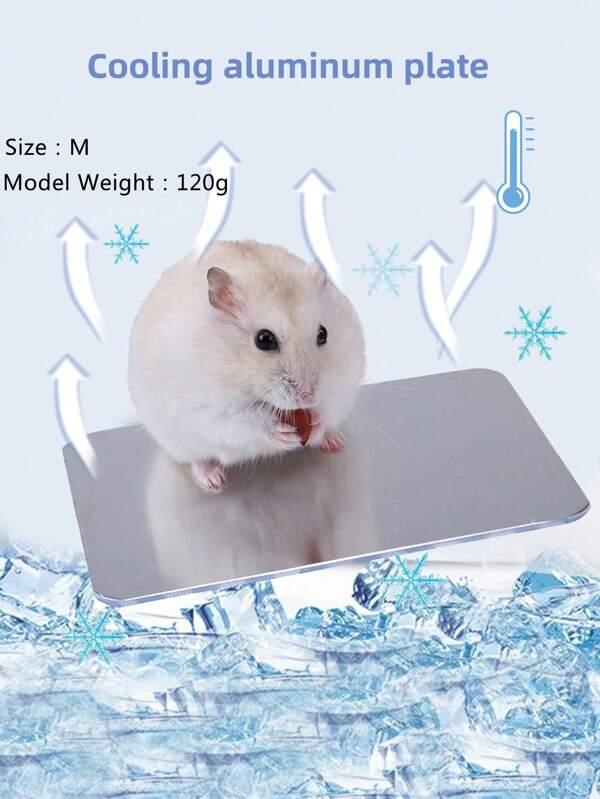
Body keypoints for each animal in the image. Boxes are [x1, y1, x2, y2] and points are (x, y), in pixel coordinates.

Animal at [128, 240, 365, 492]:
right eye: (264, 339)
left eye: (323, 333)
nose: (308, 397)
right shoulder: (208, 409)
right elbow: (245, 421)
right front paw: (281, 431)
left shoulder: (343, 384)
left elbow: (328, 407)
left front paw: (318, 421)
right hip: (179, 441)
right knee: (198, 459)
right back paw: (213, 480)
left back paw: (334, 442)